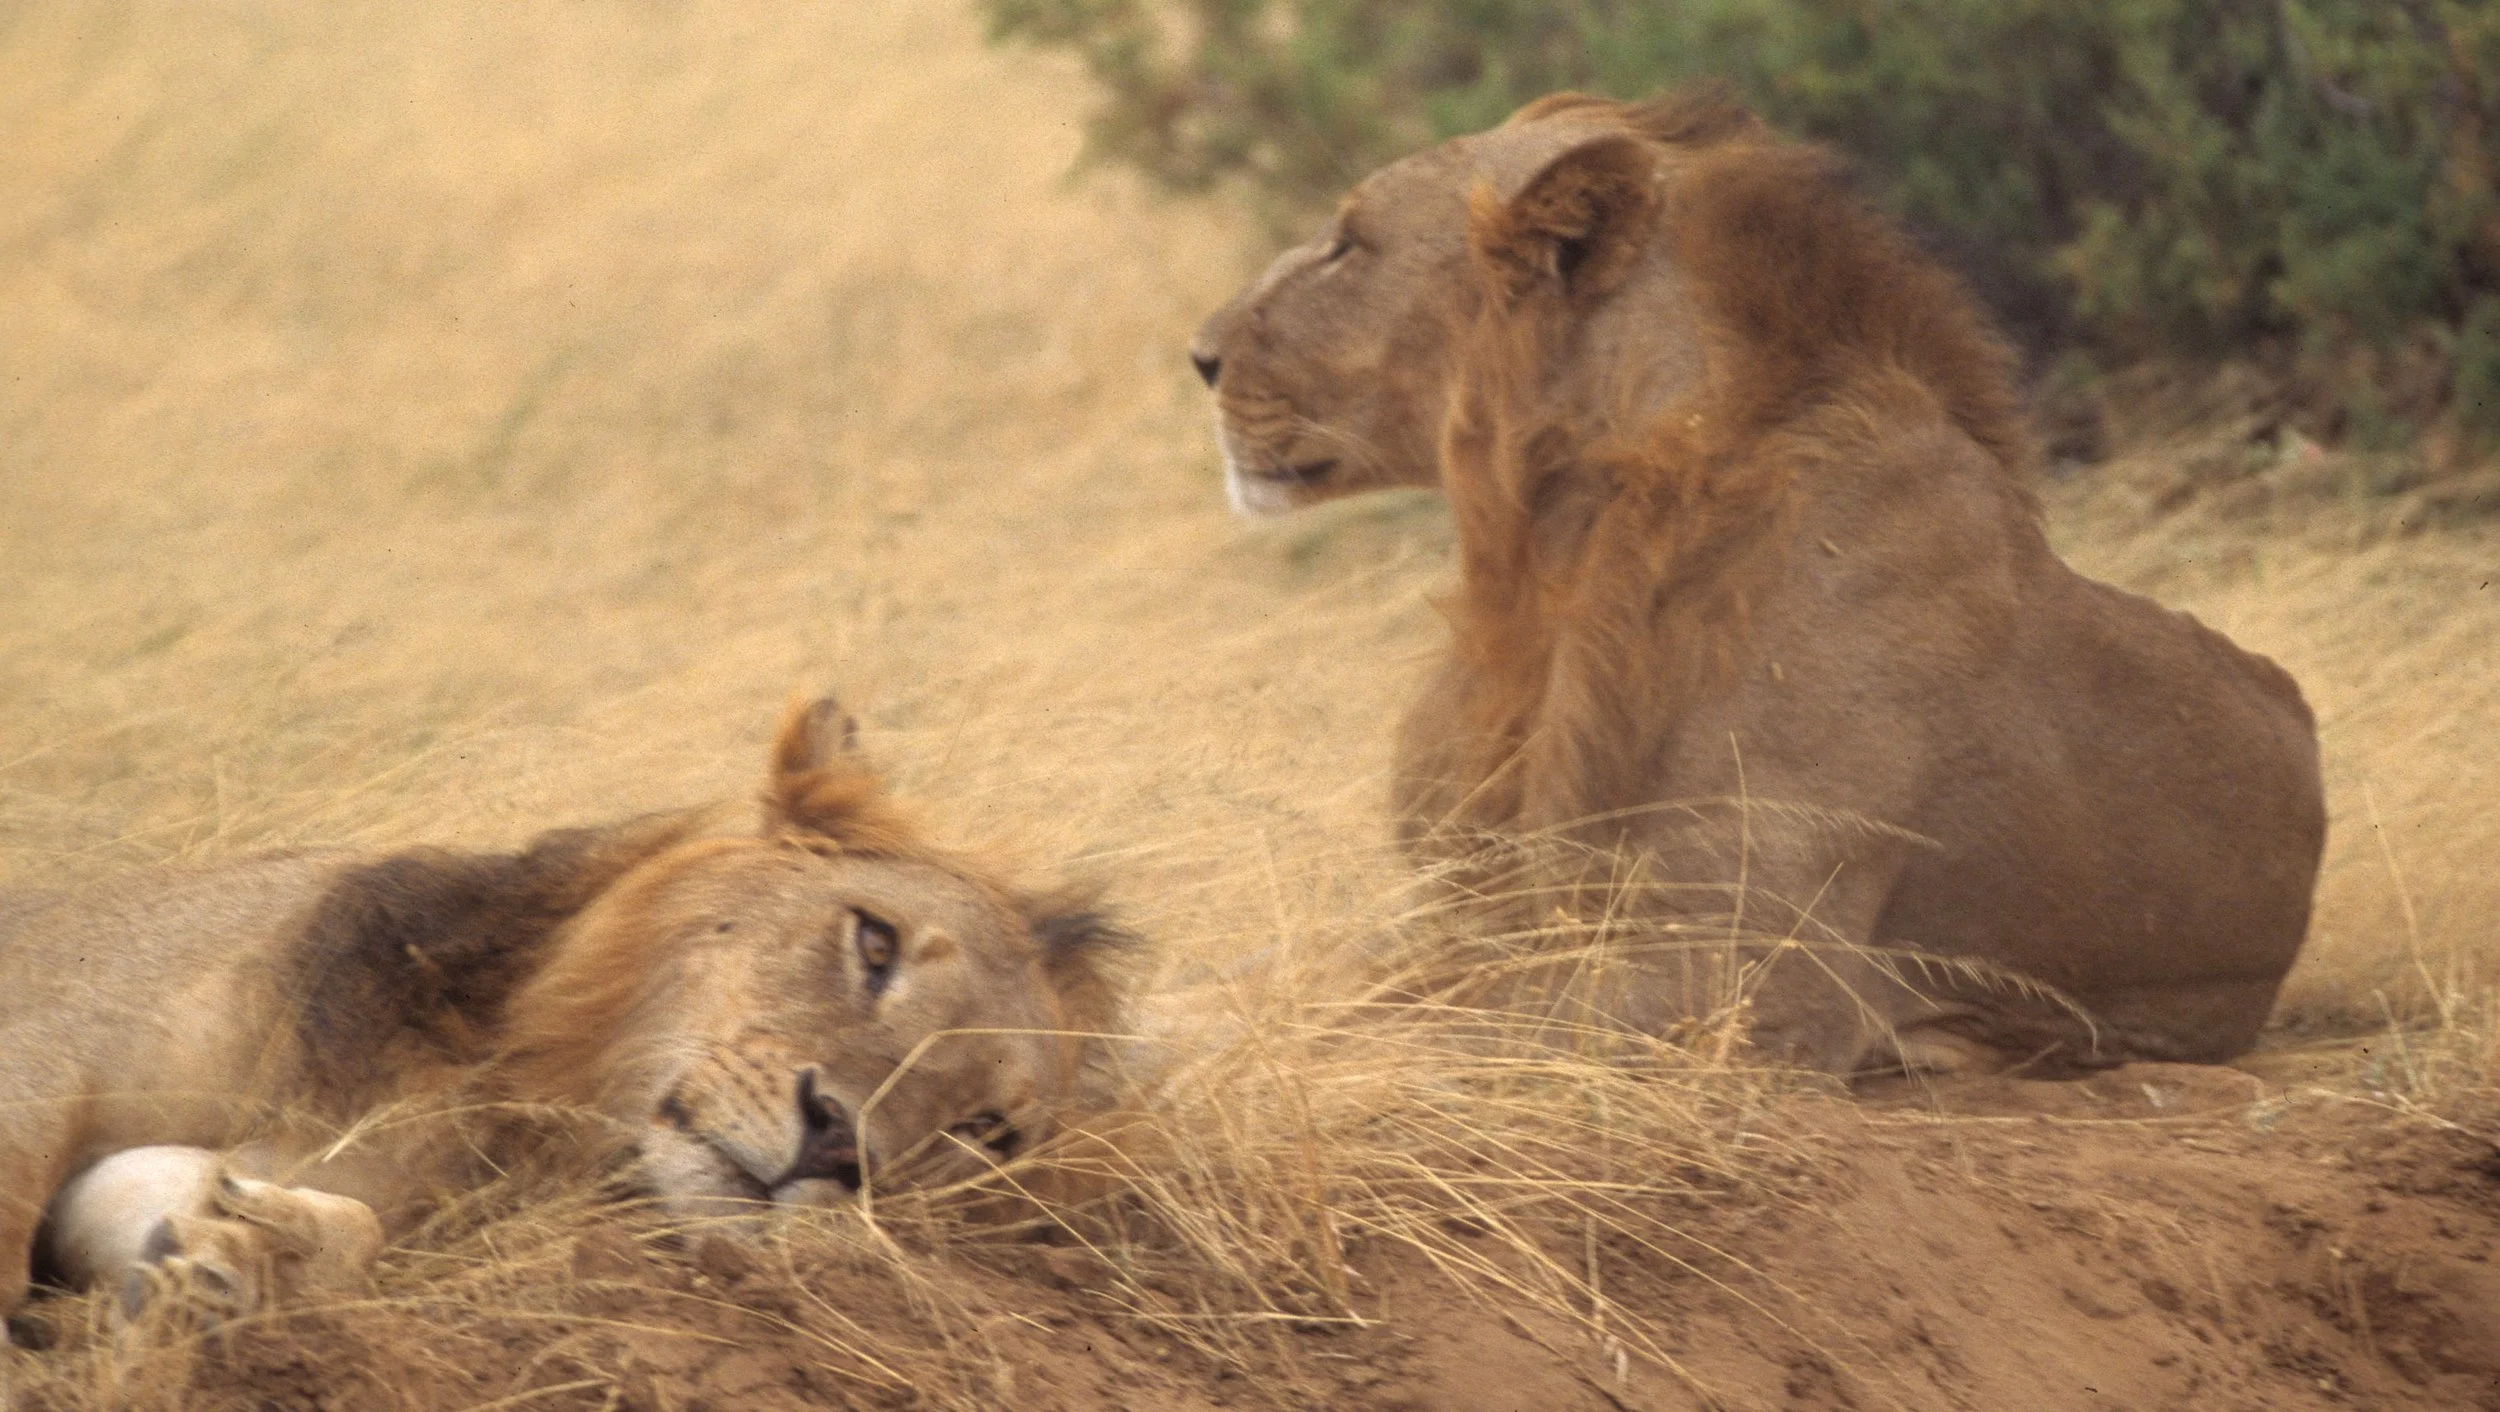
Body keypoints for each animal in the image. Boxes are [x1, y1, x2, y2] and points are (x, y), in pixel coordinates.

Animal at [0, 698, 1128, 1327]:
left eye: (983, 1131)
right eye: (876, 944)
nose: (835, 1149)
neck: (500, 1078)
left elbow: (299, 1219)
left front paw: (241, 1263)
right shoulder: (45, 1044)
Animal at [1189, 88, 2325, 1073]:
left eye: (1350, 243)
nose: (1197, 356)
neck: (1556, 557)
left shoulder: (1755, 970)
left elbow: (1440, 1019)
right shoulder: (1475, 904)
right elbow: (1283, 972)